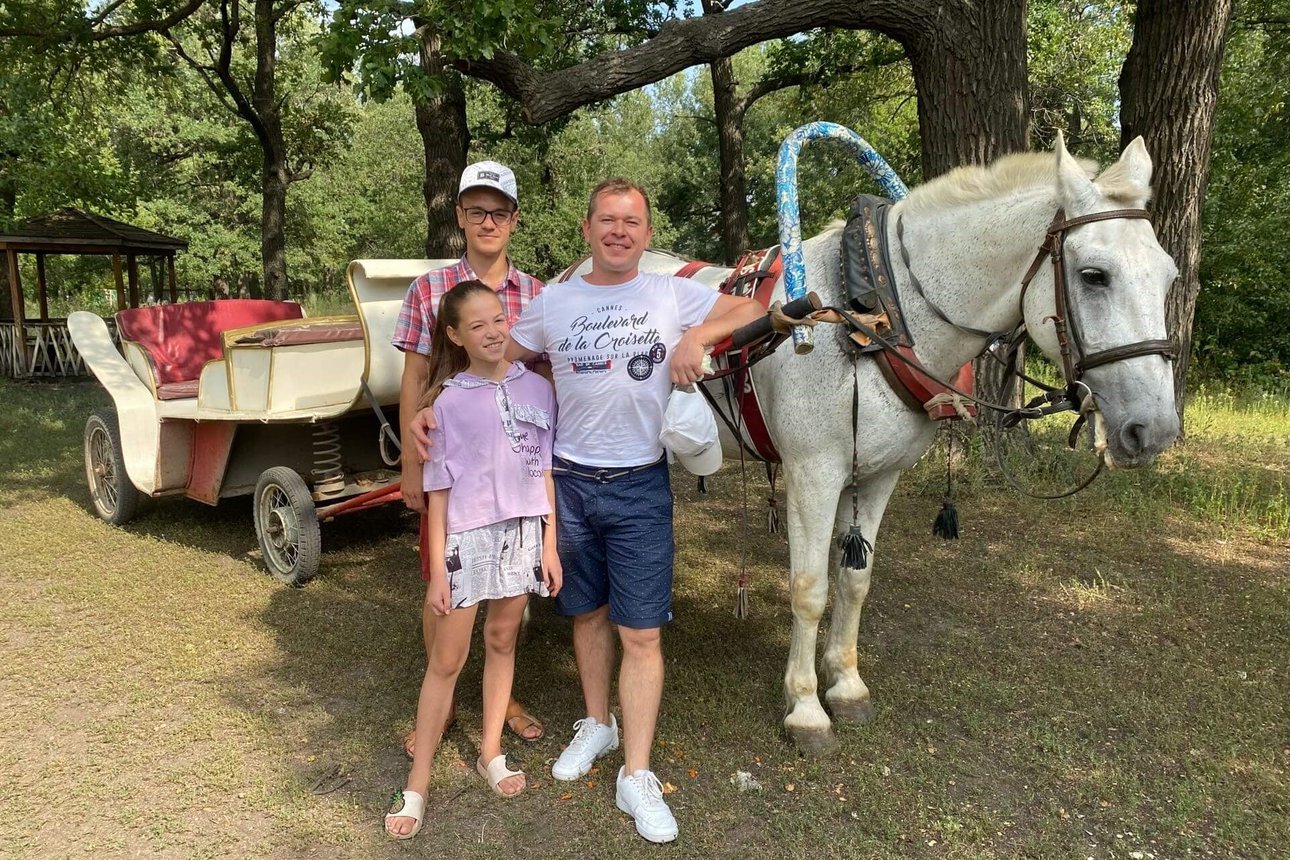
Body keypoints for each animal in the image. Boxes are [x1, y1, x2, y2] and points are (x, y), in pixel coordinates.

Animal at [634, 136, 1181, 752]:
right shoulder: (812, 475)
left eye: (1169, 277)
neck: (872, 320)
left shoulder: (877, 475)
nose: (1155, 429)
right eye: (1093, 275)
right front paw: (805, 708)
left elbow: (854, 581)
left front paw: (846, 685)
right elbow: (809, 588)